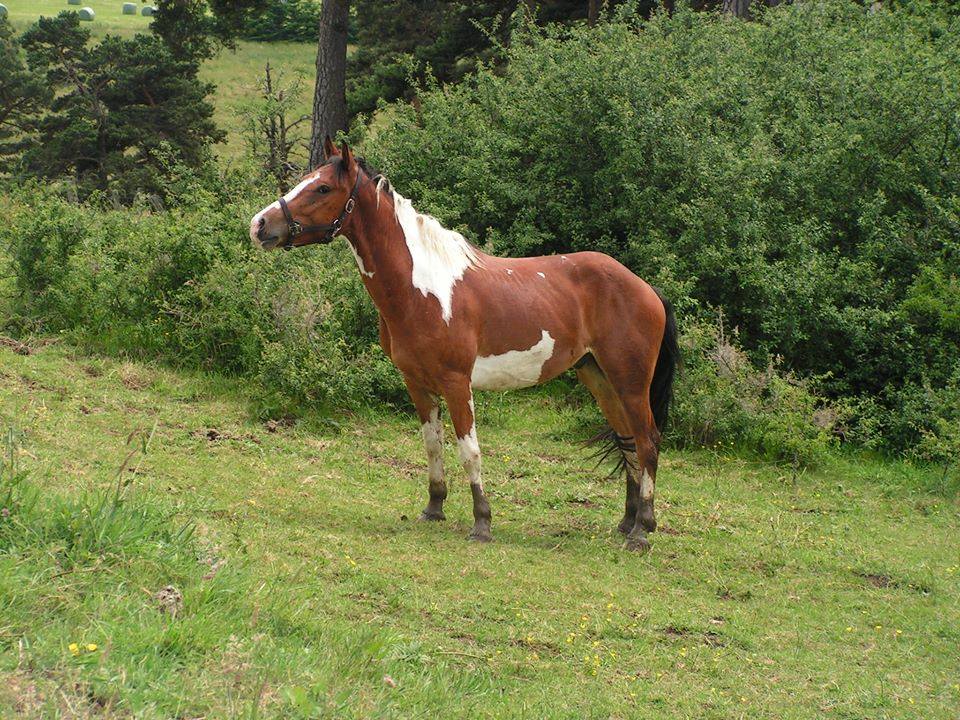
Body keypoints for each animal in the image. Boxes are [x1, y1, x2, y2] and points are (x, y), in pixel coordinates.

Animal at [250, 138, 679, 553]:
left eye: (322, 187)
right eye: (305, 179)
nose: (259, 224)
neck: (422, 288)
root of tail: (647, 289)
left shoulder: (457, 383)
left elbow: (469, 451)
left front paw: (482, 524)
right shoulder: (416, 383)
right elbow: (432, 445)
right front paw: (434, 508)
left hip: (630, 381)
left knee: (647, 442)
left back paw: (642, 531)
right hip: (600, 378)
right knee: (627, 441)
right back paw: (626, 522)